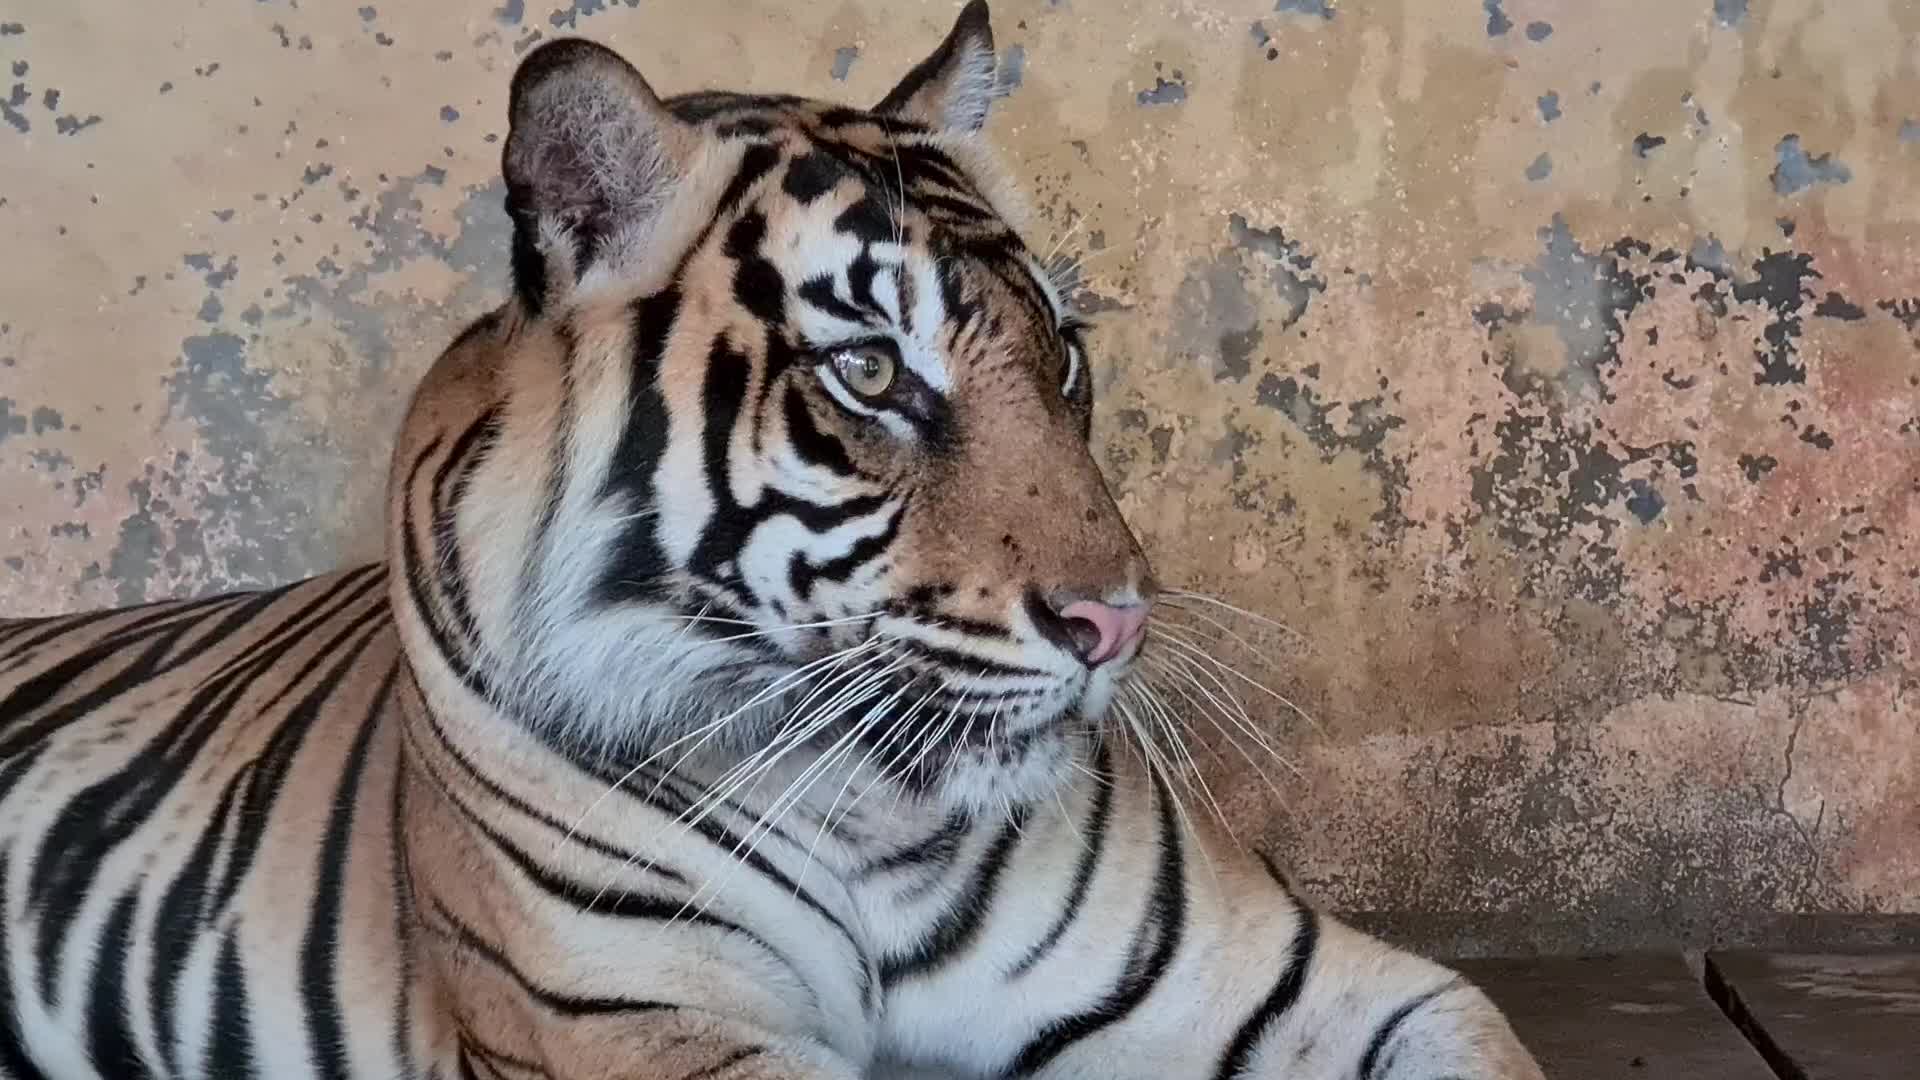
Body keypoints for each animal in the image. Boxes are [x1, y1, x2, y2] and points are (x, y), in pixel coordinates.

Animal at [0, 4, 1546, 1078]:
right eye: (871, 372)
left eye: (1063, 359)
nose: (1117, 626)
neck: (879, 822)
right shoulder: (645, 1029)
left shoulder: (1313, 985)